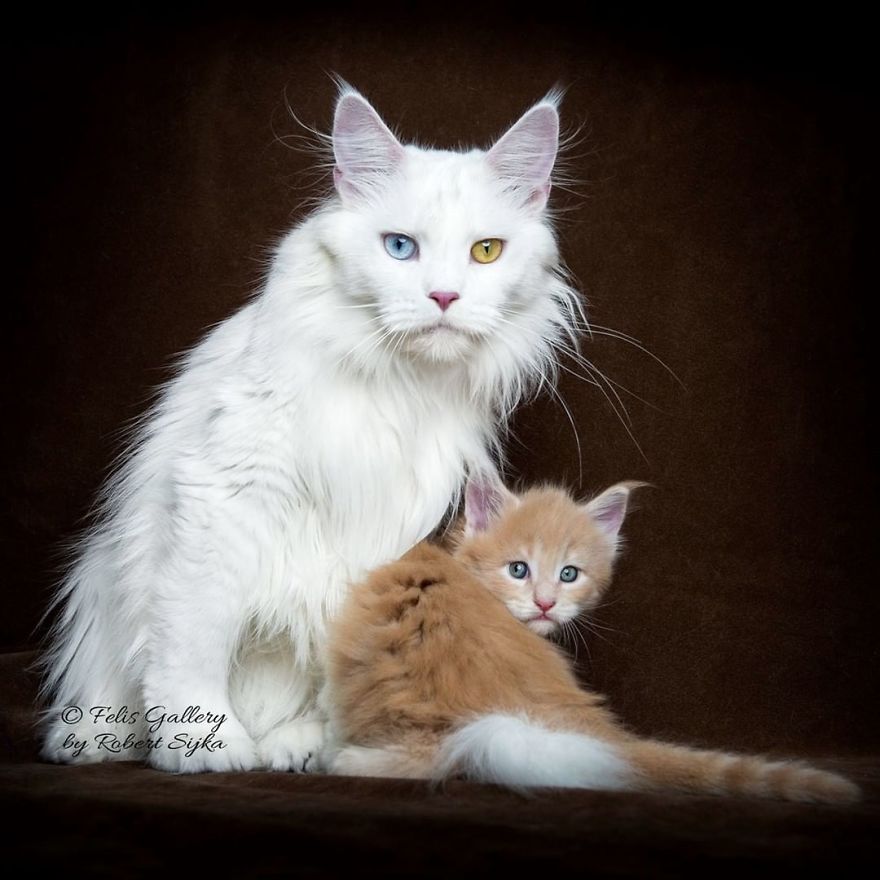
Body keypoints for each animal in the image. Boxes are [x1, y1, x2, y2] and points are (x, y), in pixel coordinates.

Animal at [37, 82, 580, 768]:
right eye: (399, 247)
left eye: (486, 252)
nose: (444, 298)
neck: (397, 384)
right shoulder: (226, 491)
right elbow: (192, 641)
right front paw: (203, 742)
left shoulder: (384, 531)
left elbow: (342, 653)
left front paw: (307, 739)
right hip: (102, 583)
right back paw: (91, 739)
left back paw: (293, 742)